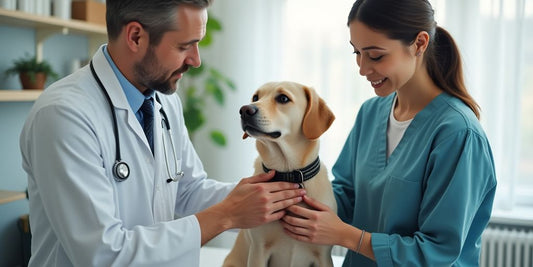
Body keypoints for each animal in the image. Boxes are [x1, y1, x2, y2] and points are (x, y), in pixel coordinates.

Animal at [222, 81, 334, 267]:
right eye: (255, 97)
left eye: (283, 98)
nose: (245, 110)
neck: (288, 172)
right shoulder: (258, 251)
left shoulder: (323, 255)